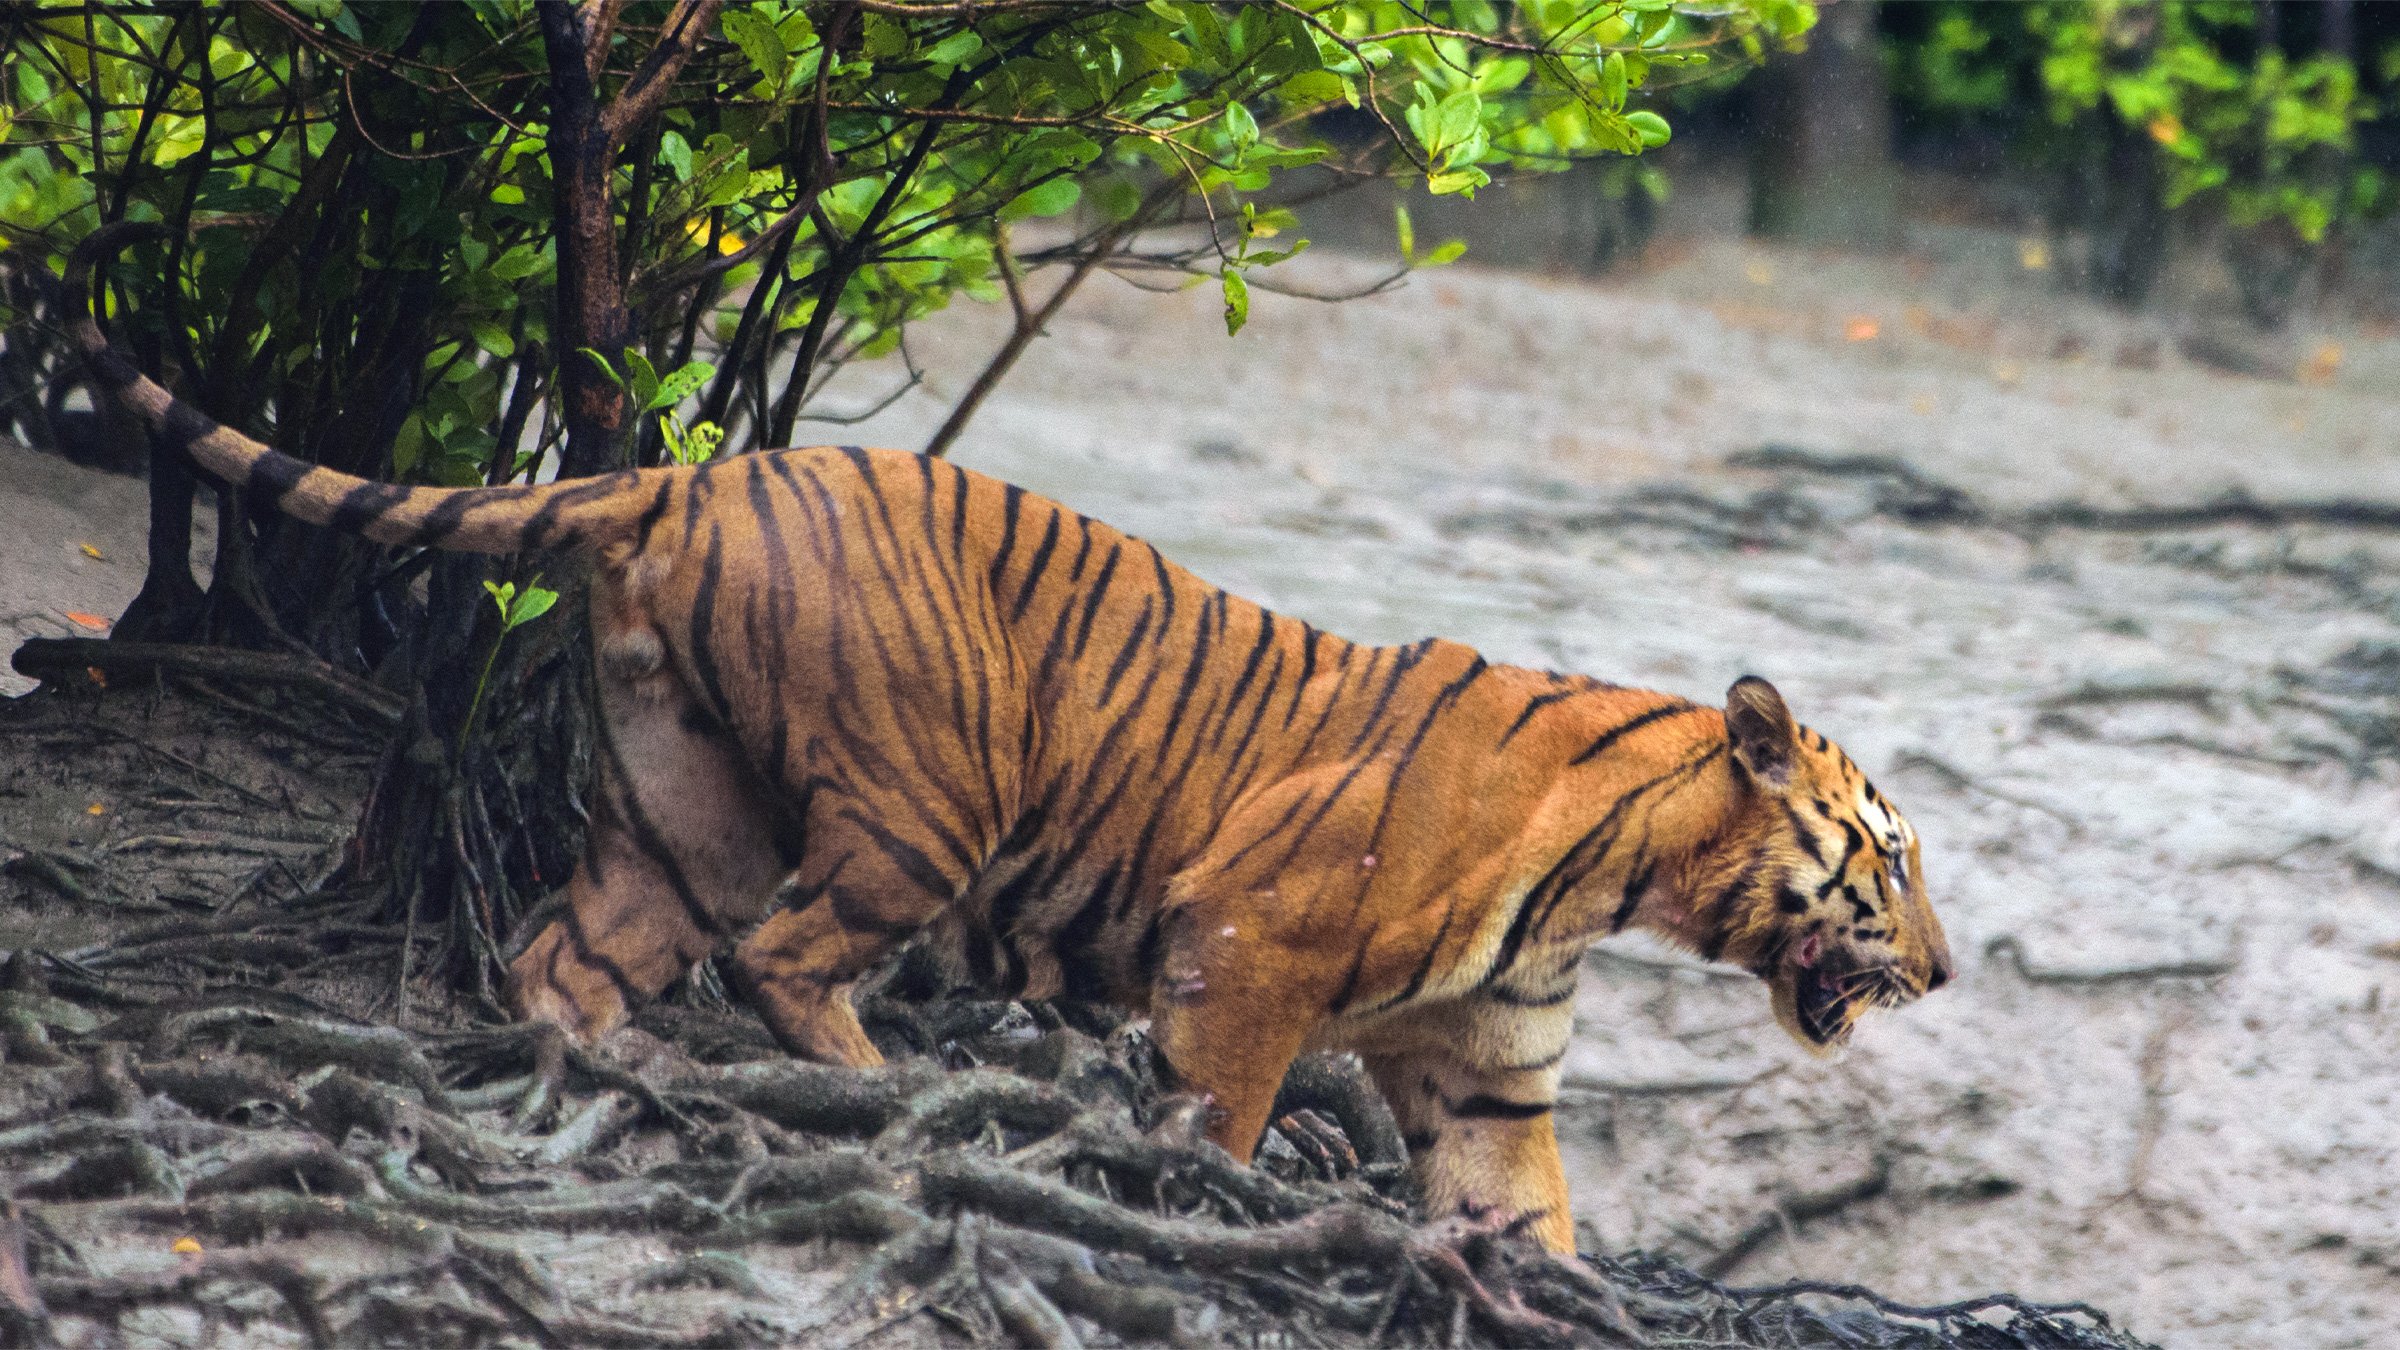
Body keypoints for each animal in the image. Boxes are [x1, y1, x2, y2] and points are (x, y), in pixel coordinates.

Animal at [59, 224, 1953, 1253]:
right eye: (1889, 856)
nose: (1942, 971)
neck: (1618, 881)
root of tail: (693, 471)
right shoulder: (1246, 950)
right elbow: (1224, 1121)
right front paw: (1197, 1201)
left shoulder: (1487, 1067)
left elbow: (1530, 1214)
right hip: (926, 799)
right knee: (784, 957)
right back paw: (883, 1095)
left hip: (689, 807)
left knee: (567, 957)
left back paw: (610, 1084)